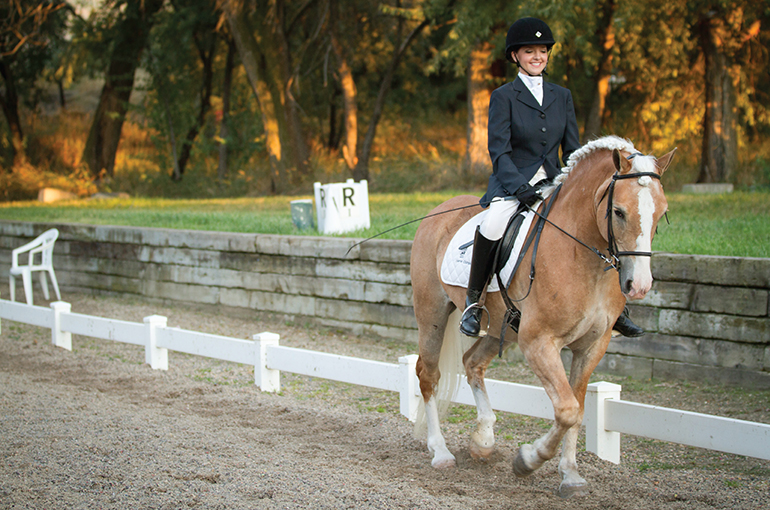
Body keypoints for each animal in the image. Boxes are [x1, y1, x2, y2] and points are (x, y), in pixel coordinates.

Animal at [410, 135, 676, 498]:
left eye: (661, 213)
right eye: (619, 212)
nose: (639, 286)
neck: (582, 256)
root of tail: (439, 210)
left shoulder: (592, 347)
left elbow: (578, 409)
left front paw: (571, 474)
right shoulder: (539, 342)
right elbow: (566, 409)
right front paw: (528, 460)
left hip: (502, 327)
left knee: (471, 363)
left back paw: (484, 441)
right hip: (432, 313)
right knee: (429, 375)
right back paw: (440, 452)